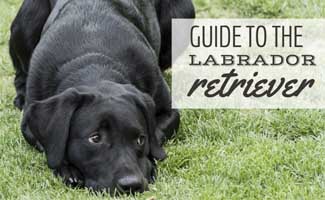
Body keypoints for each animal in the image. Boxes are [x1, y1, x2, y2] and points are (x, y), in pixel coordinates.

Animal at [9, 0, 192, 195]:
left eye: (140, 139)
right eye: (95, 138)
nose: (131, 184)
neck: (94, 63)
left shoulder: (168, 111)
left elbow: (156, 133)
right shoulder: (29, 123)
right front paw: (68, 170)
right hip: (26, 22)